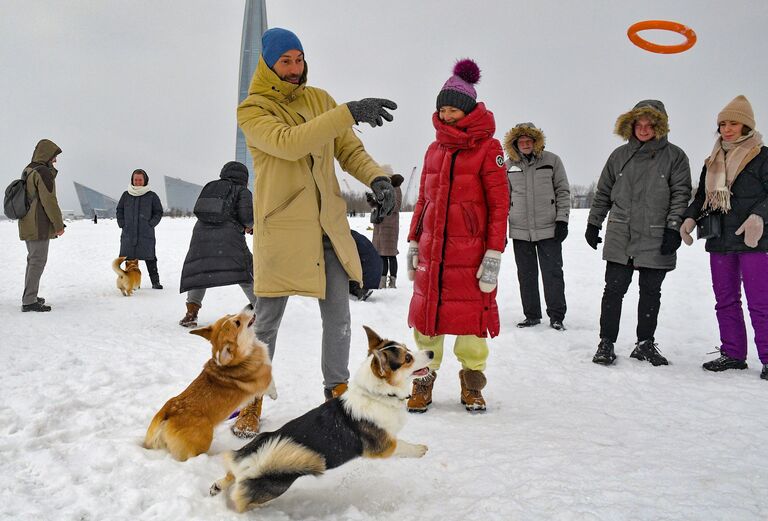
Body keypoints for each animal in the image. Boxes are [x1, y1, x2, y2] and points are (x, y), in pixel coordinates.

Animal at [144, 304, 276, 460]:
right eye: (237, 323)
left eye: (230, 315)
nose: (250, 305)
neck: (245, 353)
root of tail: (166, 417)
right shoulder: (265, 378)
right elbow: (271, 385)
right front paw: (274, 395)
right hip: (203, 441)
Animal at [210, 324, 436, 512]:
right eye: (407, 359)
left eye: (408, 348)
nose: (432, 352)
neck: (378, 394)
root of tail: (252, 460)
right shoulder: (384, 445)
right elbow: (404, 446)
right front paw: (420, 450)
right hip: (273, 487)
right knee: (241, 499)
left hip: (249, 450)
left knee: (231, 472)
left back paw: (217, 486)